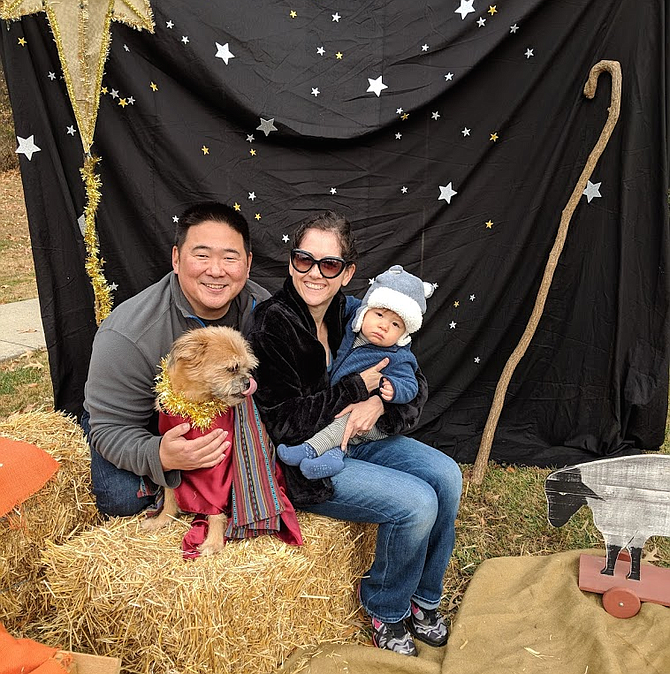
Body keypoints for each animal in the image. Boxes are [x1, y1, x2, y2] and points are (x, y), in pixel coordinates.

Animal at [144, 322, 260, 552]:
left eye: (246, 367)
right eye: (232, 368)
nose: (248, 382)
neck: (194, 406)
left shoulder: (218, 467)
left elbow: (215, 509)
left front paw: (213, 541)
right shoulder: (172, 460)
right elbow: (169, 494)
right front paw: (163, 520)